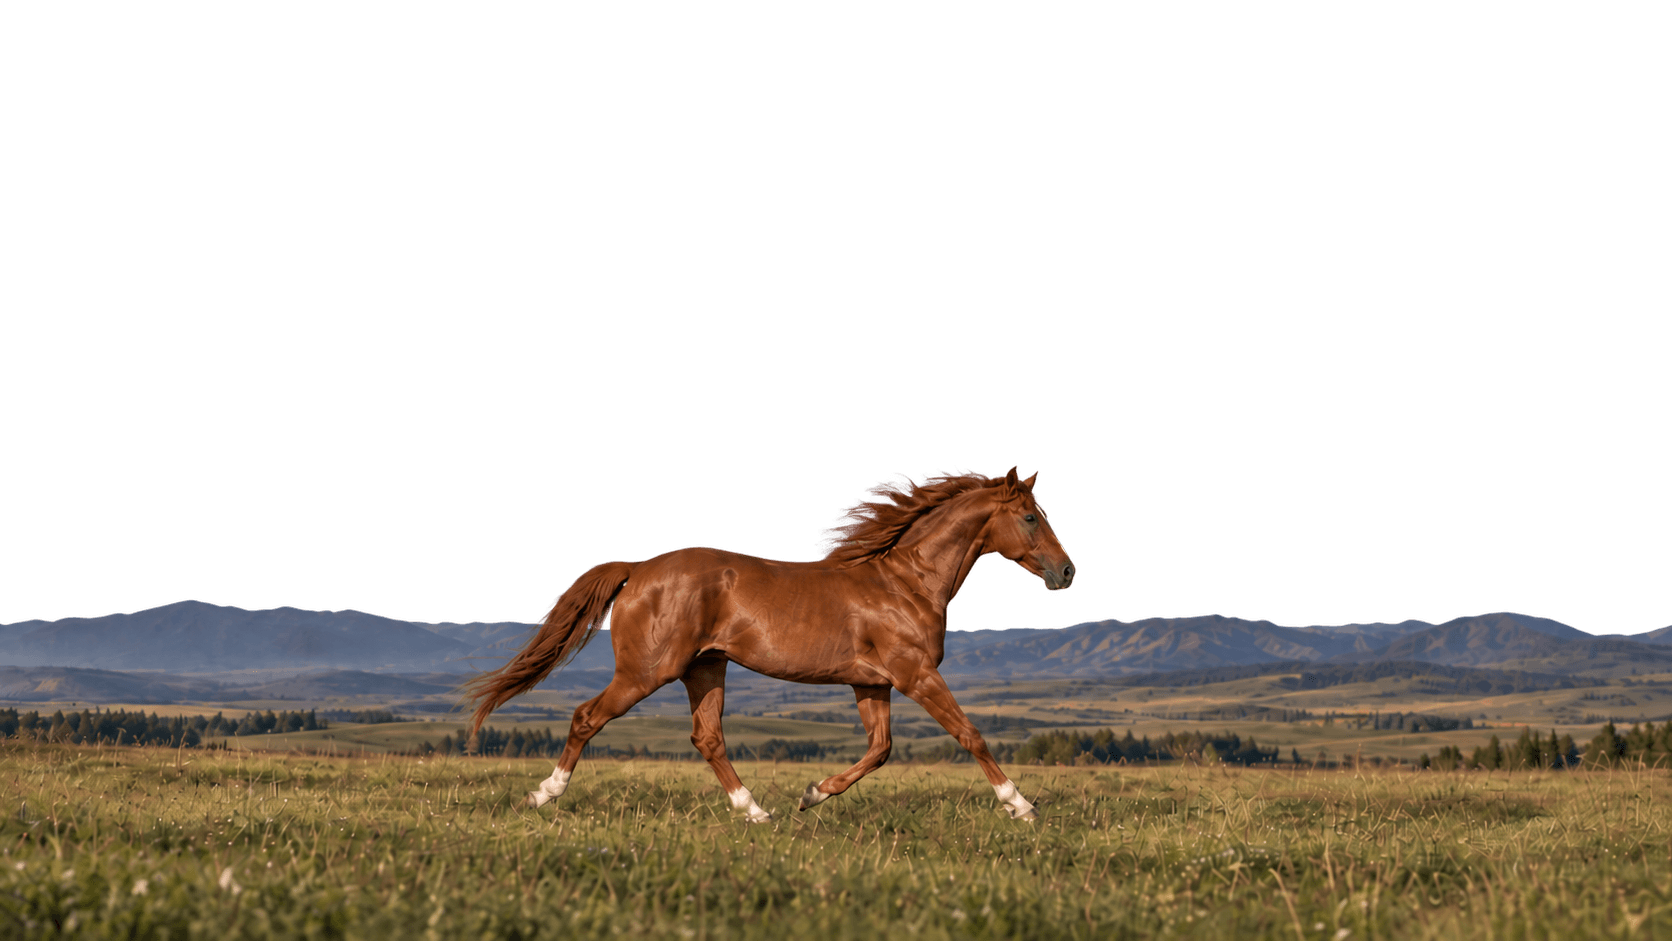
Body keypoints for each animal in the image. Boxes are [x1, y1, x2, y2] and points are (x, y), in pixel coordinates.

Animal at [463, 465, 1075, 822]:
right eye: (1029, 517)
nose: (1068, 572)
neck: (907, 584)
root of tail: (638, 571)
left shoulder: (871, 683)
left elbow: (880, 750)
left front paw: (812, 794)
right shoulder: (914, 673)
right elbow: (970, 735)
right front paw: (1021, 806)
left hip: (705, 668)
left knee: (708, 738)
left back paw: (756, 812)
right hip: (646, 671)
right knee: (587, 717)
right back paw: (542, 795)